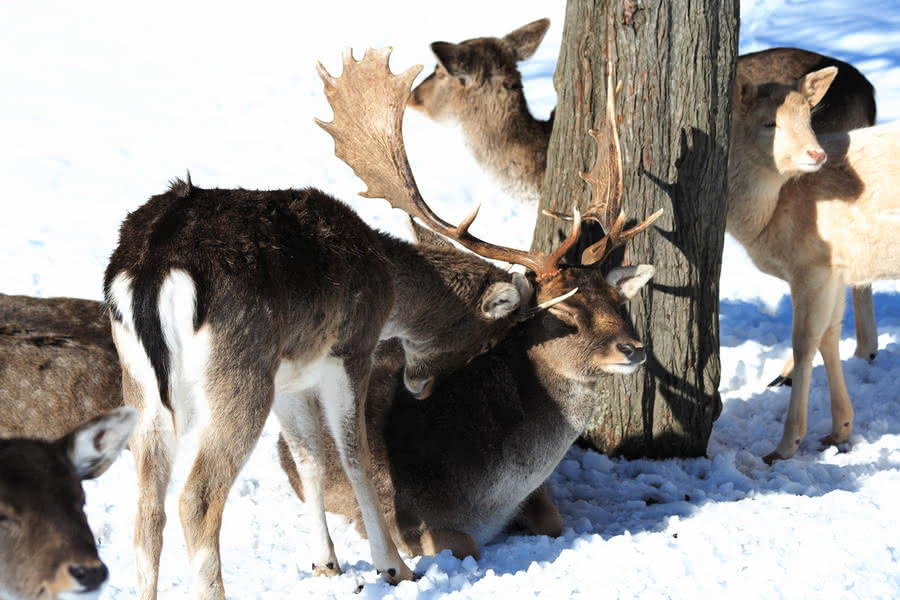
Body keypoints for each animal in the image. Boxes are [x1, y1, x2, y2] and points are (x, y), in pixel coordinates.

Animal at [270, 49, 656, 560]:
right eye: (562, 310)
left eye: (616, 298)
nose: (633, 348)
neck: (488, 495)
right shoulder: (403, 521)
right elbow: (463, 544)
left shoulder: (536, 498)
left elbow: (552, 521)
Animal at [412, 18, 884, 390]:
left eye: (438, 71)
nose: (414, 97)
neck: (535, 163)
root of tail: (871, 92)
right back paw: (865, 352)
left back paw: (792, 373)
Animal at [732, 63, 900, 462]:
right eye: (769, 123)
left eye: (809, 118)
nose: (817, 153)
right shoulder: (835, 268)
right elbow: (829, 335)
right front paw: (840, 430)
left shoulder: (811, 264)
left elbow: (803, 342)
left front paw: (784, 446)